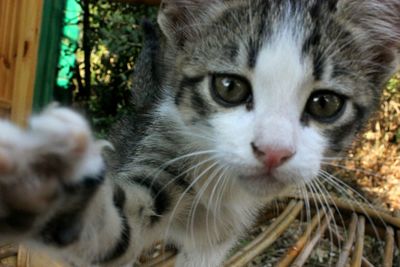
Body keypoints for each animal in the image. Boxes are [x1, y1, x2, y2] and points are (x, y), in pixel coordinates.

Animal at [0, 0, 400, 266]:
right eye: (229, 87)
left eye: (325, 104)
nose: (273, 150)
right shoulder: (164, 150)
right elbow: (121, 227)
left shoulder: (215, 245)